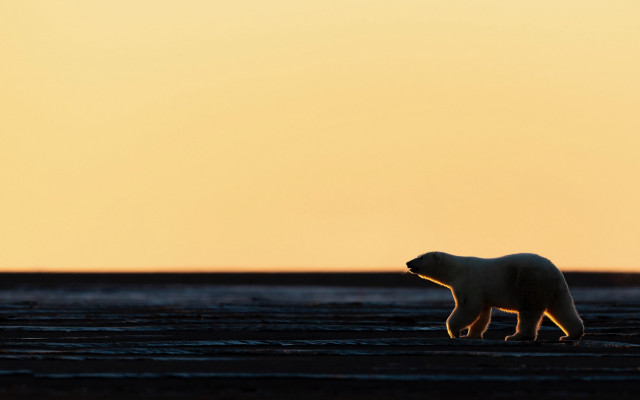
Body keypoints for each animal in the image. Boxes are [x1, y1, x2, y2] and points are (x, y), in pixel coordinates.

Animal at [406, 252, 584, 341]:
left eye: (421, 257)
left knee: (528, 313)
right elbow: (482, 313)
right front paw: (471, 335)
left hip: (530, 284)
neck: (455, 270)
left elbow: (468, 307)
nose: (408, 262)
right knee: (563, 308)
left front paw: (455, 333)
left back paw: (515, 336)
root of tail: (556, 273)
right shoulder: (482, 294)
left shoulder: (469, 283)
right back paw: (570, 335)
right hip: (555, 290)